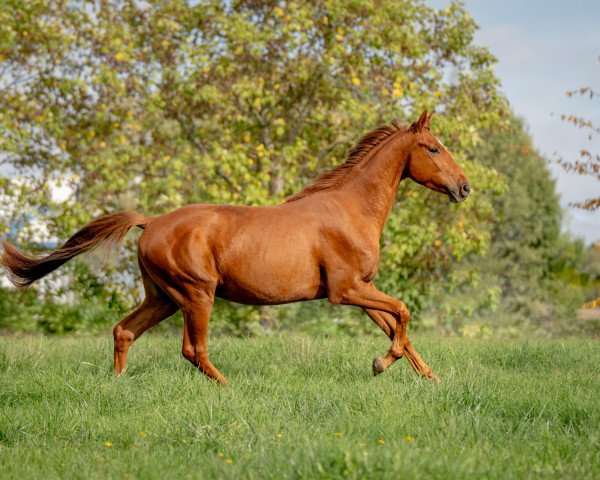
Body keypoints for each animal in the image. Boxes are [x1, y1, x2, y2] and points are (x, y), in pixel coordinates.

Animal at [0, 110, 468, 384]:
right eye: (432, 148)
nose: (464, 187)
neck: (350, 209)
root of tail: (151, 222)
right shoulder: (346, 290)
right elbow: (403, 312)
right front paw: (380, 365)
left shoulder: (362, 289)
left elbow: (397, 327)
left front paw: (428, 377)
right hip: (196, 294)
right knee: (192, 348)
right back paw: (226, 386)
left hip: (162, 297)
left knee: (124, 330)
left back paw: (117, 385)